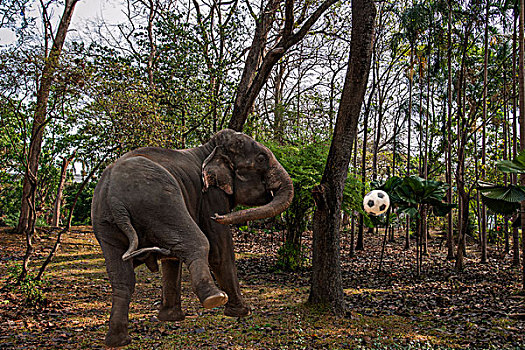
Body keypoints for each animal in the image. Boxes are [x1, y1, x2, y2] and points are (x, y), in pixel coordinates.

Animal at [91, 129, 292, 348]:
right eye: (261, 158)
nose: (218, 217)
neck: (208, 148)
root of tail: (114, 198)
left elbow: (172, 259)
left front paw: (171, 319)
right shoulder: (210, 196)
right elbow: (220, 251)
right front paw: (242, 312)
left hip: (107, 223)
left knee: (123, 277)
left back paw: (117, 341)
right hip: (160, 202)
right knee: (199, 242)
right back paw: (214, 298)